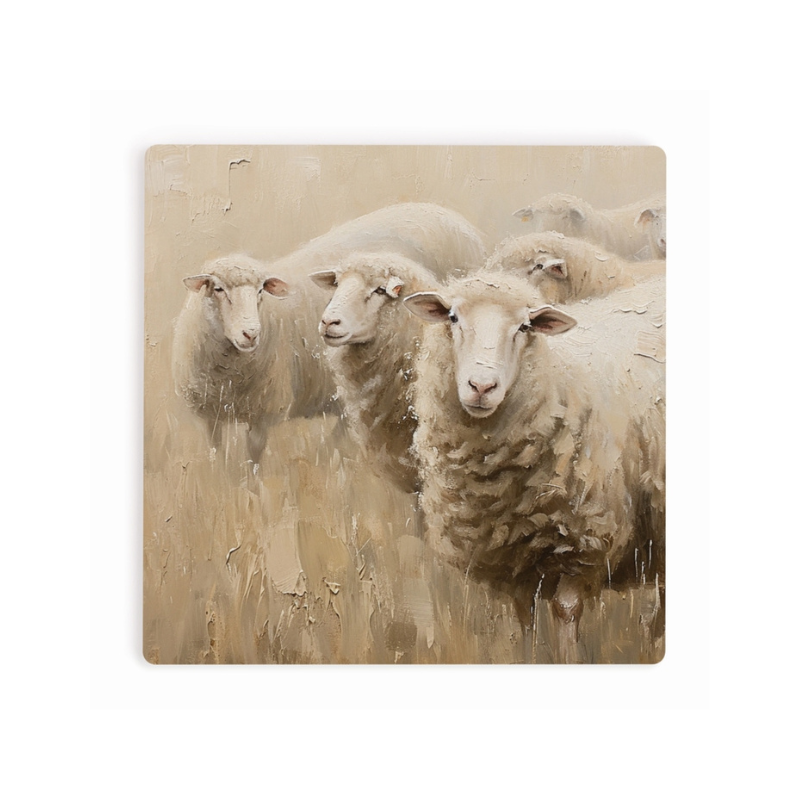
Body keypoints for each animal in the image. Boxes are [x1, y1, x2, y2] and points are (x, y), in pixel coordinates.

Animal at [172, 203, 488, 464]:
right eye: (217, 289)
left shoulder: (265, 411)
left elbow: (253, 464)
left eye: (261, 290)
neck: (228, 374)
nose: (250, 333)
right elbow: (217, 456)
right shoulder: (209, 414)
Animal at [404, 271, 665, 662]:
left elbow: (566, 610)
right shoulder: (512, 554)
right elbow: (524, 617)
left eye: (525, 327)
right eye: (452, 317)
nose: (482, 386)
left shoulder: (582, 542)